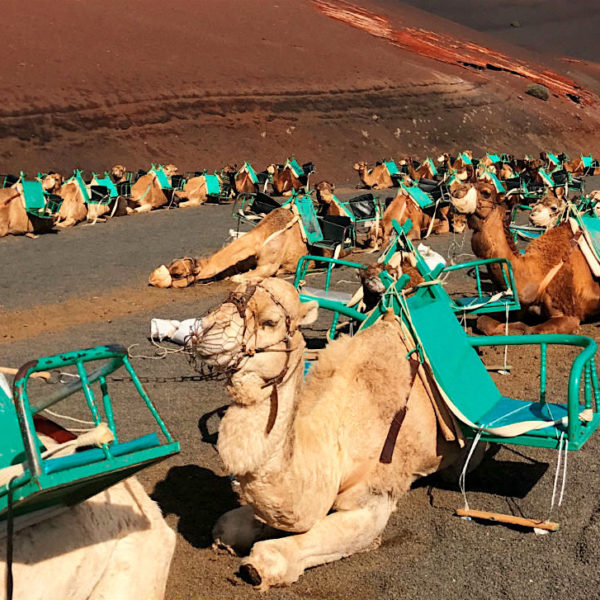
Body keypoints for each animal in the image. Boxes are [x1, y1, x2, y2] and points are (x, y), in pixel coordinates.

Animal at [190, 278, 462, 588]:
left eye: (270, 321)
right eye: (227, 299)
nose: (205, 330)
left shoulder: (374, 498)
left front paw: (259, 566)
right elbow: (227, 525)